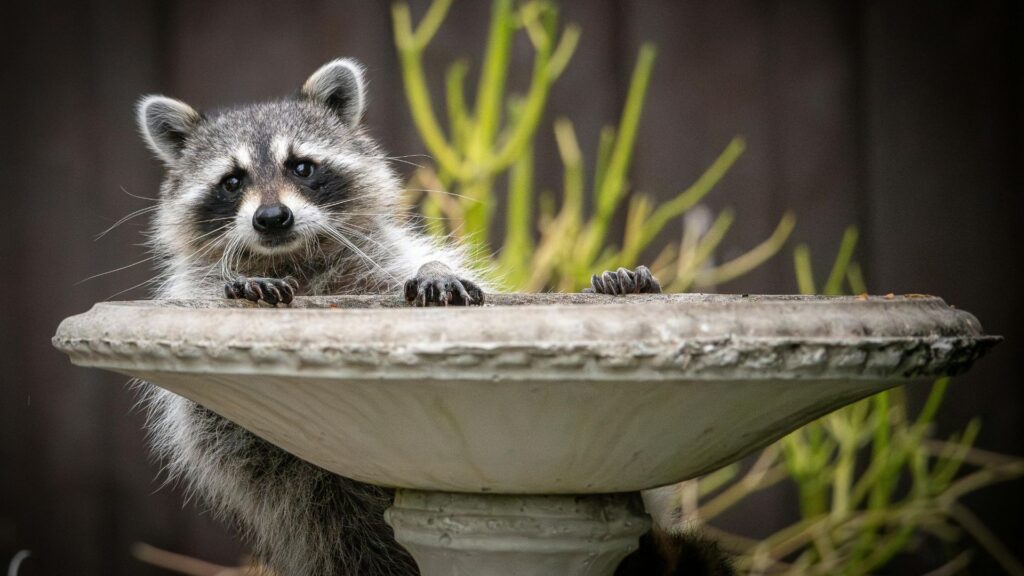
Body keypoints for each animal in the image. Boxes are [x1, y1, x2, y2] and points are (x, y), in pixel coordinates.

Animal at [136, 57, 689, 575]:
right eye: (232, 182)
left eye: (301, 167)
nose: (272, 218)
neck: (292, 256)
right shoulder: (201, 314)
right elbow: (217, 419)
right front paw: (246, 285)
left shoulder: (378, 264)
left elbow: (426, 267)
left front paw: (435, 269)